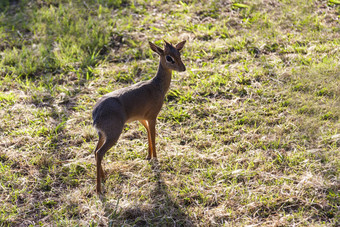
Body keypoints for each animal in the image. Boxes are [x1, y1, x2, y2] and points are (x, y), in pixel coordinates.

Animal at [92, 39, 186, 193]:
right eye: (169, 58)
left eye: (179, 53)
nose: (183, 68)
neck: (157, 86)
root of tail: (95, 114)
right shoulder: (152, 117)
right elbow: (153, 136)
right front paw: (155, 159)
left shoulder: (143, 118)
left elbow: (148, 134)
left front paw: (148, 156)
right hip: (113, 134)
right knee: (99, 153)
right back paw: (99, 189)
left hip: (102, 134)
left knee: (95, 152)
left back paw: (104, 177)